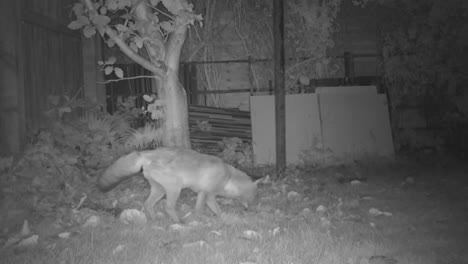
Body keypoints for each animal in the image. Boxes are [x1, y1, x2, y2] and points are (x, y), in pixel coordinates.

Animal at [98, 146, 264, 223]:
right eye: (254, 197)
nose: (253, 210)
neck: (228, 177)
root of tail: (146, 153)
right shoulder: (208, 194)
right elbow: (215, 210)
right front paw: (217, 219)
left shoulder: (202, 193)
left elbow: (199, 209)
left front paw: (201, 219)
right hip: (174, 189)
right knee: (168, 207)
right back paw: (179, 222)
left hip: (159, 190)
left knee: (147, 204)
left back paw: (155, 221)